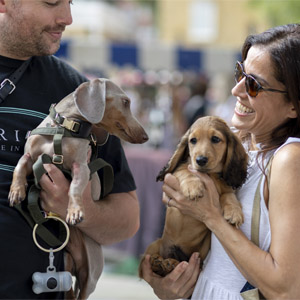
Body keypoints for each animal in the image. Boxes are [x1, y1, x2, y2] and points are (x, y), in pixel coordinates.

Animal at [138, 116, 246, 278]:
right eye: (193, 140)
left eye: (215, 139)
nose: (200, 160)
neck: (210, 174)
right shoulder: (177, 172)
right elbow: (187, 171)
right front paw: (193, 187)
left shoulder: (227, 189)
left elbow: (229, 197)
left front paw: (234, 212)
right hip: (155, 244)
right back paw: (158, 262)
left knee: (178, 264)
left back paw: (169, 264)